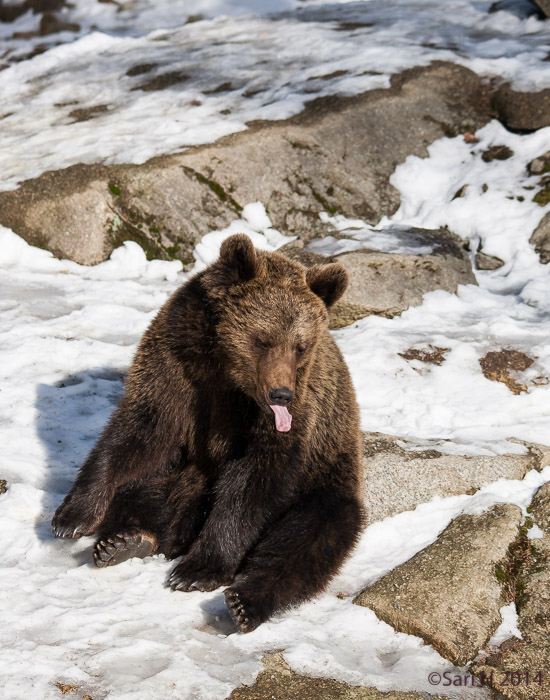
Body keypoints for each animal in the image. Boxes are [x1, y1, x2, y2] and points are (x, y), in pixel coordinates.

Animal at [52, 235, 366, 636]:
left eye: (301, 345)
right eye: (263, 339)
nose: (281, 395)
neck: (227, 371)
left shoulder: (290, 414)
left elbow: (254, 482)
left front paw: (197, 571)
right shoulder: (176, 363)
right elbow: (142, 432)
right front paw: (72, 517)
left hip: (326, 477)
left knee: (310, 536)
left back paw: (244, 601)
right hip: (187, 476)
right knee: (148, 492)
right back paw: (127, 540)